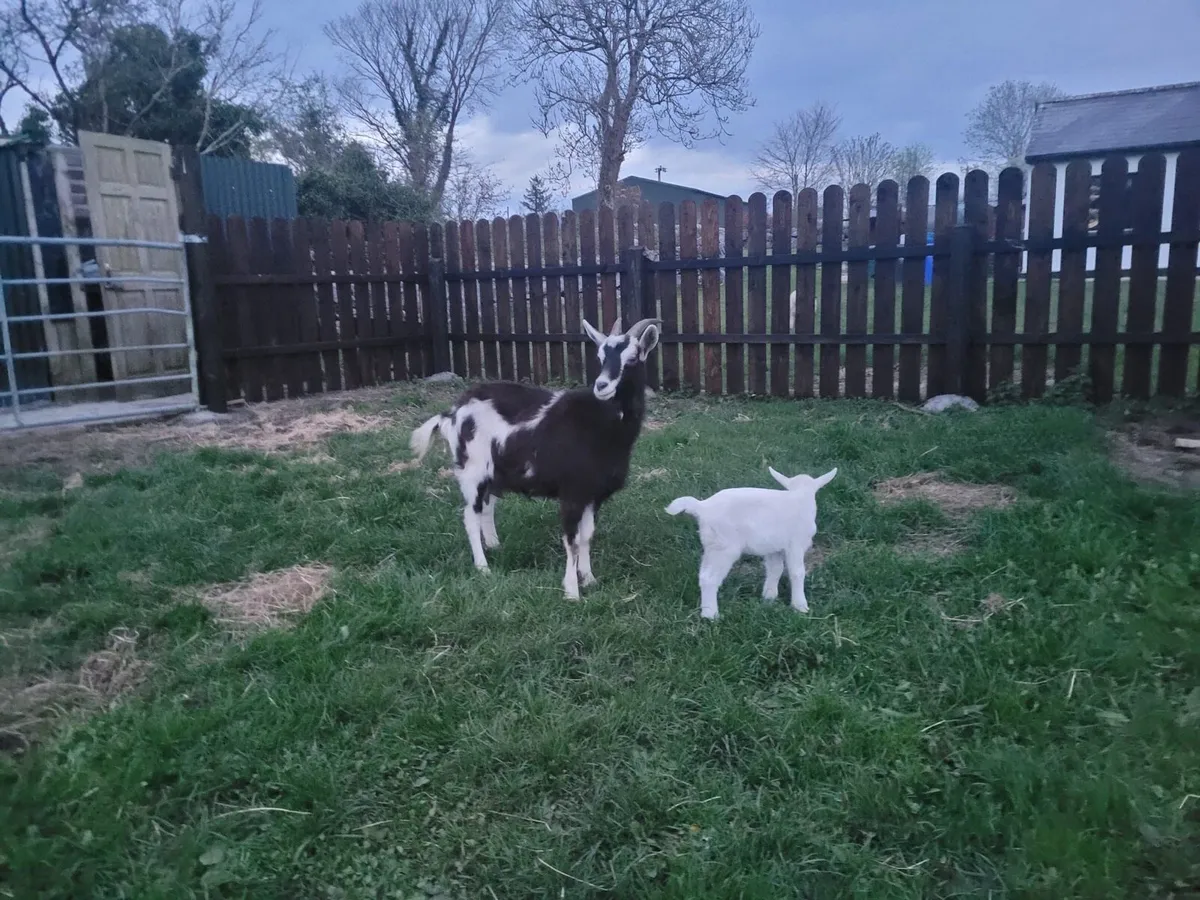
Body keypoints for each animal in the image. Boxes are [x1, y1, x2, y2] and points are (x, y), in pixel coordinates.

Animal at [408, 317, 662, 599]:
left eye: (633, 358)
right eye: (600, 356)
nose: (602, 386)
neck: (601, 424)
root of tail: (452, 413)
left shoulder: (593, 495)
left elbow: (587, 536)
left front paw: (589, 579)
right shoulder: (572, 492)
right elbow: (572, 540)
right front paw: (572, 592)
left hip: (494, 472)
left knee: (487, 505)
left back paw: (494, 546)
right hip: (471, 470)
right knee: (470, 515)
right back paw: (483, 567)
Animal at [665, 466, 837, 620]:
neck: (800, 498)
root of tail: (702, 507)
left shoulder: (774, 547)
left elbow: (775, 569)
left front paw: (769, 597)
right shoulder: (795, 544)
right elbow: (797, 572)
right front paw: (800, 606)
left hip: (713, 544)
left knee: (703, 574)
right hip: (724, 547)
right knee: (709, 578)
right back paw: (711, 615)